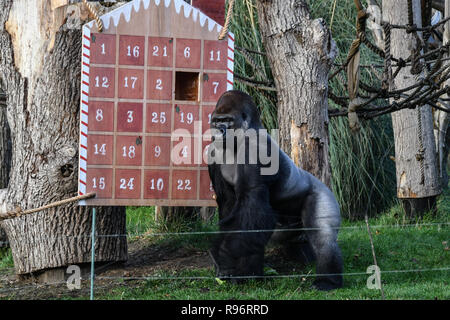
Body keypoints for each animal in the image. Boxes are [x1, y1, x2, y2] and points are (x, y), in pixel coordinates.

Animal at [208, 89, 344, 290]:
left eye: (227, 120)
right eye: (216, 120)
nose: (218, 130)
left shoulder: (255, 150)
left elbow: (253, 208)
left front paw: (225, 257)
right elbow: (231, 207)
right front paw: (238, 271)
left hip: (324, 194)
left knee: (323, 239)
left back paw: (328, 281)